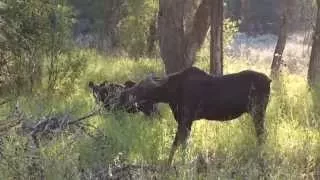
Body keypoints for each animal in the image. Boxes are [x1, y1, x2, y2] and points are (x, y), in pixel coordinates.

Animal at [120, 67, 272, 165]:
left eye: (142, 87)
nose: (125, 94)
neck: (171, 94)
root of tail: (269, 80)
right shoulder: (185, 121)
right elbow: (181, 143)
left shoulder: (186, 119)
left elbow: (178, 143)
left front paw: (176, 164)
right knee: (262, 135)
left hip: (257, 111)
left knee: (262, 135)